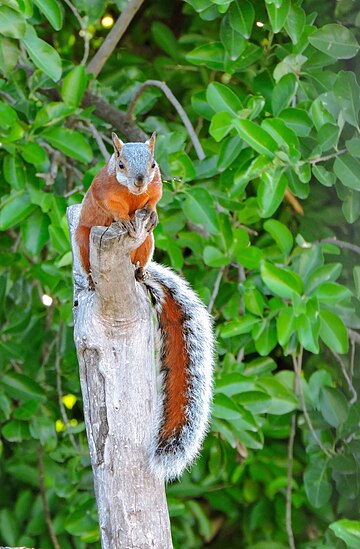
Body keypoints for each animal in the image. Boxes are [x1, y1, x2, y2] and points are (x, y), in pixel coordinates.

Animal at [74, 132, 214, 480]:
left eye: (152, 164)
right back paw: (92, 280)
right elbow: (111, 206)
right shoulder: (103, 188)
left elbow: (156, 199)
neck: (131, 193)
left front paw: (151, 211)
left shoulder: (156, 186)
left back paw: (140, 272)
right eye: (120, 164)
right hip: (83, 240)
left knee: (141, 257)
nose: (138, 181)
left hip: (146, 243)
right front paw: (125, 219)